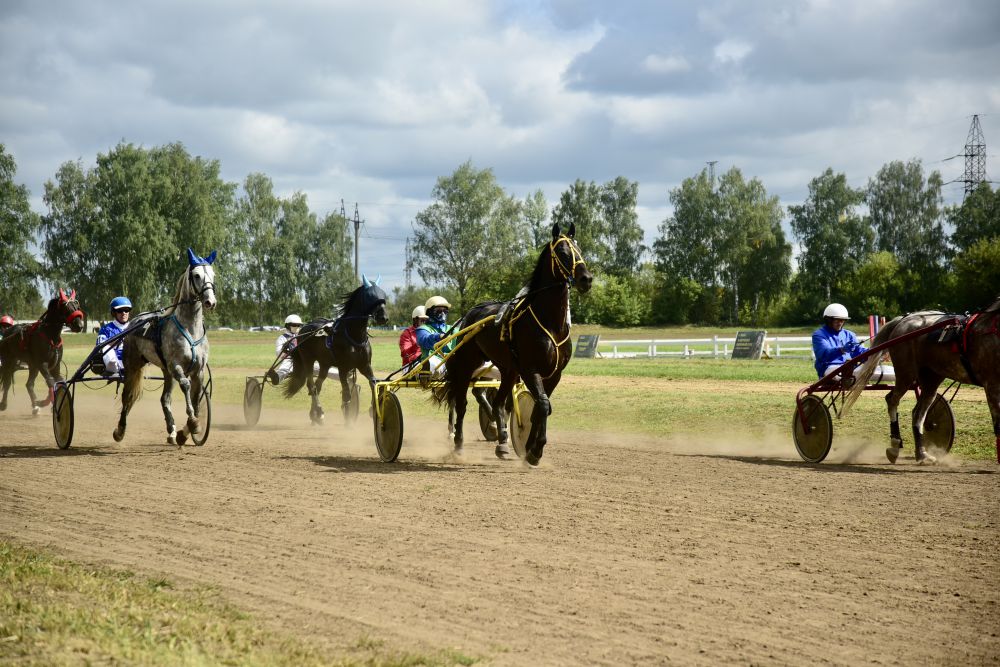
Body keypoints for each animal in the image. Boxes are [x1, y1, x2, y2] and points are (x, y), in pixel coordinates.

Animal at [116, 248, 219, 446]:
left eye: (212, 274)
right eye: (196, 275)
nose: (210, 301)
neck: (190, 329)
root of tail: (135, 321)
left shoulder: (198, 371)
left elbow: (196, 398)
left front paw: (186, 432)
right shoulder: (176, 365)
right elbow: (186, 386)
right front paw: (193, 421)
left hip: (166, 372)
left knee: (165, 399)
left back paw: (171, 430)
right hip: (133, 365)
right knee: (127, 396)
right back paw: (120, 430)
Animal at [286, 276, 390, 422]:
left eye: (383, 294)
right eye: (370, 296)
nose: (383, 317)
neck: (353, 336)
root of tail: (304, 329)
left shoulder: (365, 365)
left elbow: (373, 383)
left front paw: (372, 408)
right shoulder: (343, 368)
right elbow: (346, 393)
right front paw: (348, 416)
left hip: (324, 364)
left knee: (317, 385)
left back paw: (314, 414)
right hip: (308, 360)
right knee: (311, 385)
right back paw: (318, 410)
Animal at [434, 223, 588, 464]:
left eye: (579, 250)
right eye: (562, 252)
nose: (586, 279)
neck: (550, 322)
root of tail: (471, 312)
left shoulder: (554, 374)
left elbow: (539, 408)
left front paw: (528, 448)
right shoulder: (530, 369)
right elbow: (542, 404)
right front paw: (535, 450)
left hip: (508, 370)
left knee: (498, 402)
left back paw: (502, 443)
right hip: (467, 365)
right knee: (461, 404)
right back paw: (458, 444)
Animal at [848, 296, 1000, 464]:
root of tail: (904, 319)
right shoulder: (991, 385)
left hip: (931, 379)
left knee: (918, 413)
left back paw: (921, 453)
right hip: (906, 373)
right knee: (892, 399)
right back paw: (895, 445)